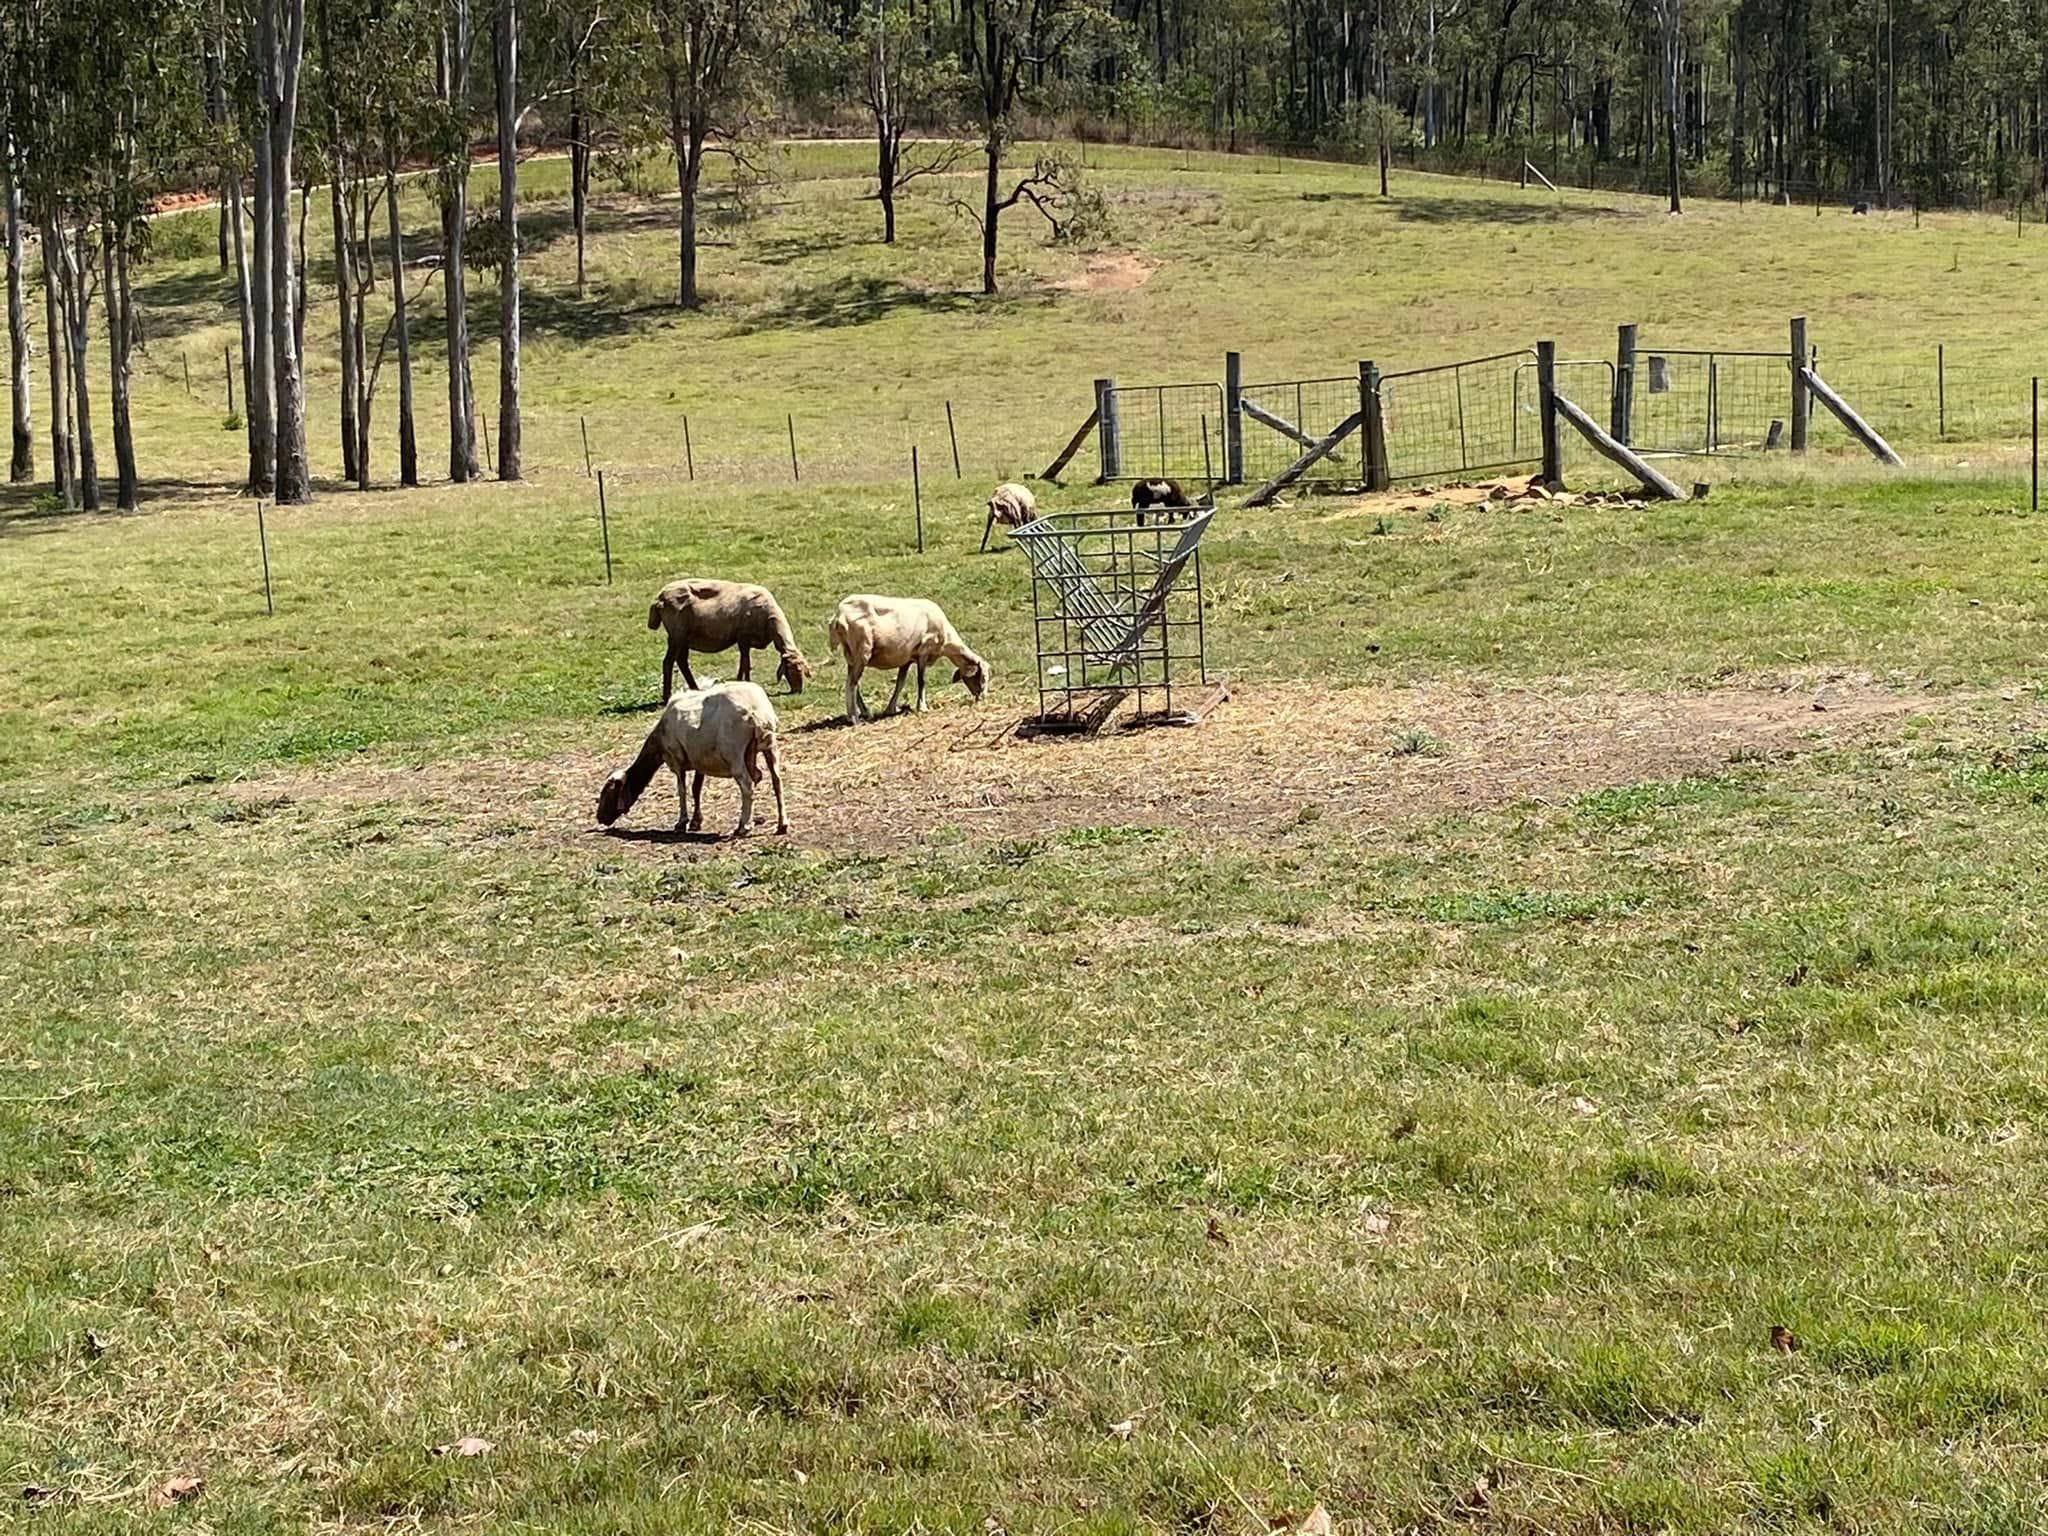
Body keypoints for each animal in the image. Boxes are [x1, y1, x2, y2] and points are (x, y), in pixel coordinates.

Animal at [598, 679, 790, 835]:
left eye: (608, 793)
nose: (599, 818)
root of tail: (757, 712)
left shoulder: (675, 759)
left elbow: (681, 789)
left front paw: (681, 822)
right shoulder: (700, 760)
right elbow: (696, 789)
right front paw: (696, 822)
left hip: (734, 752)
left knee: (747, 786)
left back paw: (743, 826)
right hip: (770, 746)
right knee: (777, 781)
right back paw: (782, 824)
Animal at [643, 581, 811, 708]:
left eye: (802, 670)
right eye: (788, 671)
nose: (798, 690)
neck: (769, 620)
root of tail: (660, 598)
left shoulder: (744, 641)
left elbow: (743, 663)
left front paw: (740, 682)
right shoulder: (743, 637)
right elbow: (746, 663)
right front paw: (745, 682)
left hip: (683, 638)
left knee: (682, 662)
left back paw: (695, 689)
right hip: (677, 634)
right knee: (668, 662)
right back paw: (667, 696)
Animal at [831, 593, 991, 729]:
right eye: (982, 677)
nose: (982, 698)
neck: (946, 642)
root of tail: (839, 615)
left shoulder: (907, 659)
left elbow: (900, 683)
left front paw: (892, 709)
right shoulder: (924, 651)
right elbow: (921, 681)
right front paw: (923, 707)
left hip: (851, 654)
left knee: (853, 682)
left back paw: (863, 713)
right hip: (862, 650)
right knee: (852, 684)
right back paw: (854, 718)